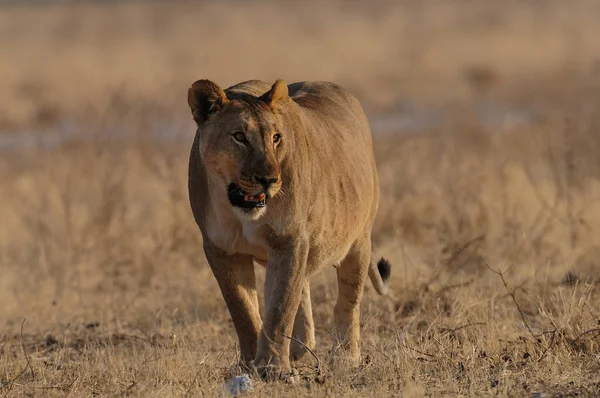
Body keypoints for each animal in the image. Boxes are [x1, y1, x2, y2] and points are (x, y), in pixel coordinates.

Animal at [189, 78, 394, 380]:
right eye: (239, 136)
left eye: (276, 137)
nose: (269, 179)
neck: (238, 211)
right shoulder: (220, 248)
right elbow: (243, 309)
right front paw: (250, 363)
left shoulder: (288, 240)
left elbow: (280, 306)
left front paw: (272, 368)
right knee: (304, 288)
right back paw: (299, 347)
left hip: (358, 240)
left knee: (348, 300)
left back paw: (345, 358)